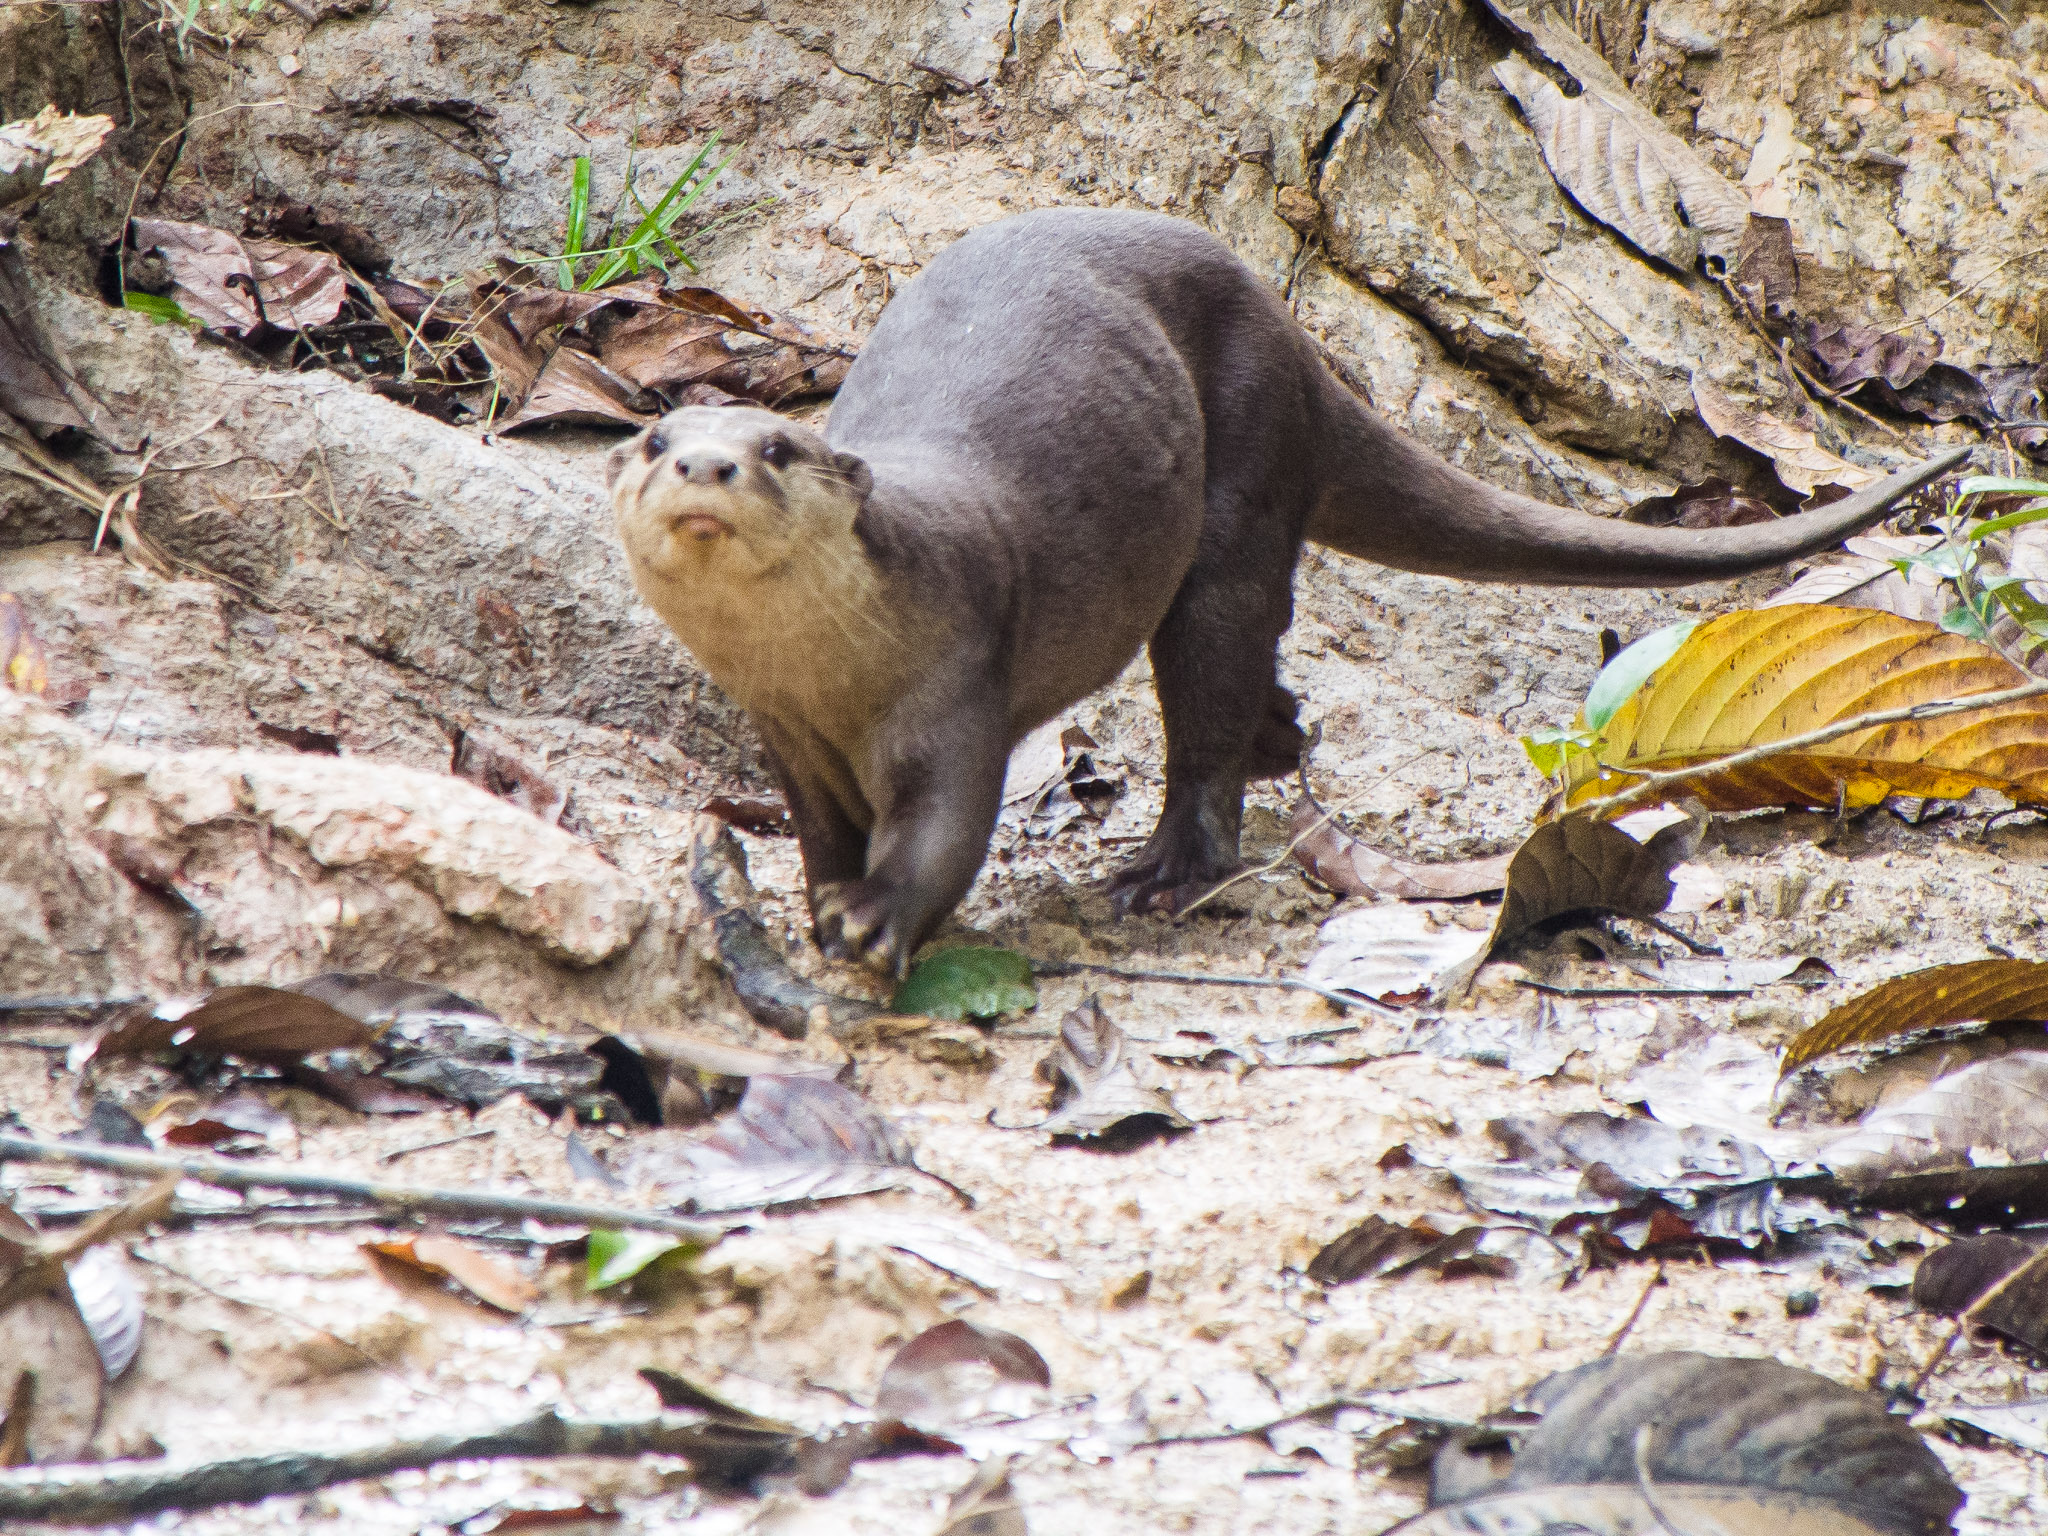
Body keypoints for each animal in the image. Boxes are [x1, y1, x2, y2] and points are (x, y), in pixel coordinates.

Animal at [606, 207, 1966, 974]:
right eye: (654, 440)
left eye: (776, 449)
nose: (706, 466)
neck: (839, 679)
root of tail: (1303, 343)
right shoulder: (787, 735)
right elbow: (819, 834)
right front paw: (814, 904)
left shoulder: (955, 691)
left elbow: (940, 831)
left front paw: (873, 922)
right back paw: (1277, 746)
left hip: (1241, 479)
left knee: (1207, 690)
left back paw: (1164, 873)